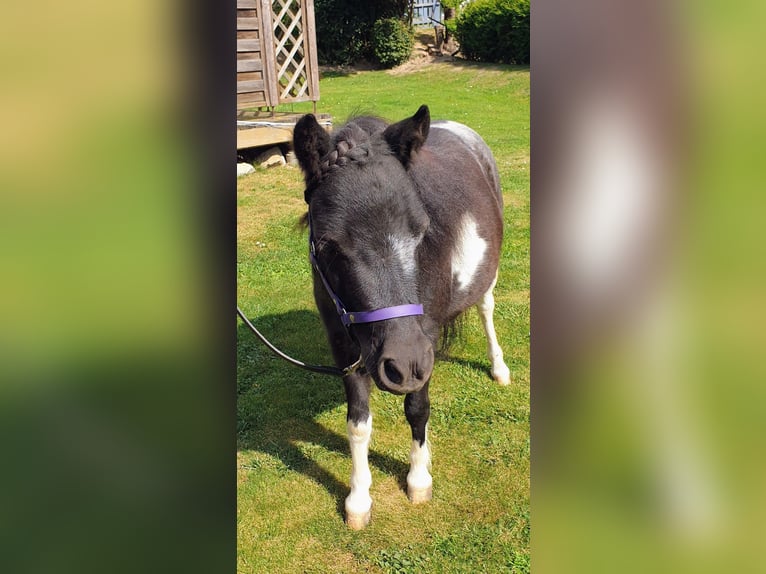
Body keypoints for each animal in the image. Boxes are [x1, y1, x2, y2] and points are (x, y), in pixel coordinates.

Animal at [292, 105, 511, 529]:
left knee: (486, 309)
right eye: (327, 243)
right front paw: (358, 499)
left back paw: (499, 368)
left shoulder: (424, 344)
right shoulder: (345, 349)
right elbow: (357, 424)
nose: (403, 363)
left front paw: (419, 479)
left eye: (421, 231)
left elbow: (417, 409)